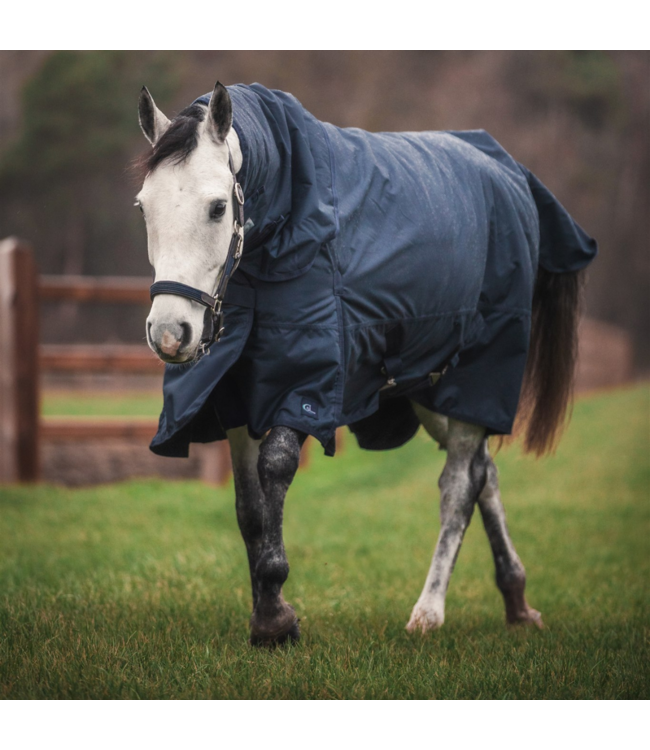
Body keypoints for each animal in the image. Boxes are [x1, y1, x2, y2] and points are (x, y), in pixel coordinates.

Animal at [134, 81, 596, 648]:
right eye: (144, 207)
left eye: (218, 207)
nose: (170, 333)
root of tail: (512, 176)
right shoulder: (236, 395)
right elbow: (250, 509)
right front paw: (267, 612)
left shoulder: (308, 385)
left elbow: (277, 469)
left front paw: (275, 615)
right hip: (429, 391)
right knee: (484, 475)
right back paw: (516, 599)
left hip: (474, 379)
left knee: (458, 488)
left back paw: (429, 611)